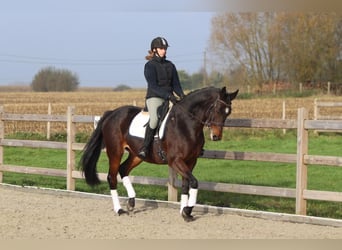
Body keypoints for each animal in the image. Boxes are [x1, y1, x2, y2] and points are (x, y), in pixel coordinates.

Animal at [78, 87, 238, 222]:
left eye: (228, 112)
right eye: (217, 109)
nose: (216, 136)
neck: (186, 124)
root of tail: (112, 113)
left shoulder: (191, 161)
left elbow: (186, 184)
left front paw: (184, 212)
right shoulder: (175, 161)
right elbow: (194, 182)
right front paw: (187, 210)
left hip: (137, 155)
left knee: (123, 169)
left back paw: (131, 202)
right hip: (115, 152)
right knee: (112, 177)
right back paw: (119, 210)